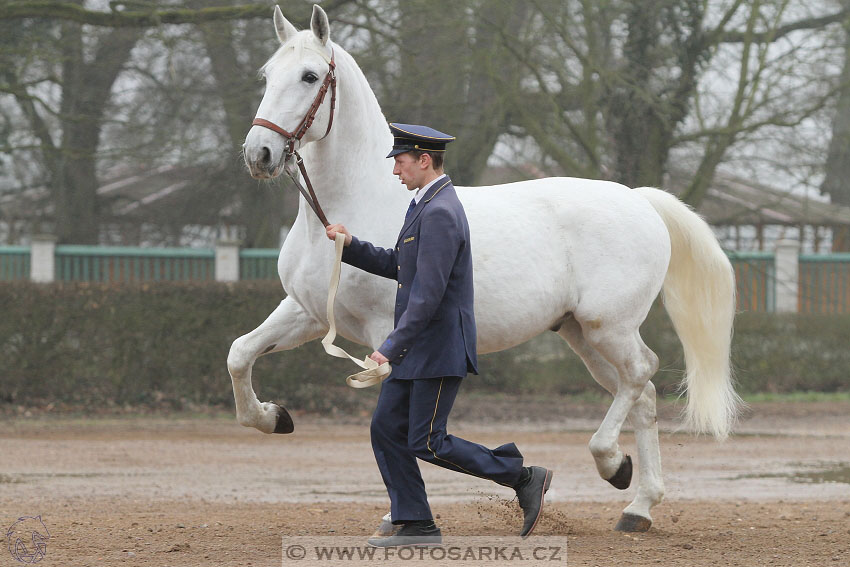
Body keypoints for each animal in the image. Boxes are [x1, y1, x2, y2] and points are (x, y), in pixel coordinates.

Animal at [230, 5, 736, 536]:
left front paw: (397, 517)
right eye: (267, 74)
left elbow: (394, 423)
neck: (355, 202)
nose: (259, 154)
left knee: (641, 374)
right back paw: (637, 505)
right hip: (582, 334)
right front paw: (274, 417)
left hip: (608, 327)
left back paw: (612, 467)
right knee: (643, 393)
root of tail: (641, 200)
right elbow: (240, 353)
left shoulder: (387, 332)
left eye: (309, 76)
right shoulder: (307, 313)